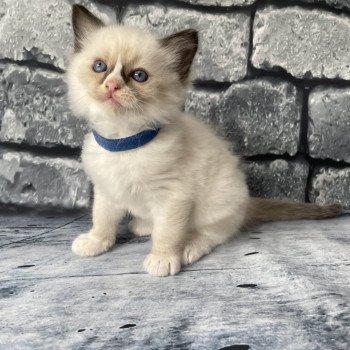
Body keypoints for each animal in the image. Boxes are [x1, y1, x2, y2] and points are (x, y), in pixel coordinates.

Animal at [66, 5, 342, 276]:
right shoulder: (106, 190)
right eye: (99, 67)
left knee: (214, 233)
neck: (123, 141)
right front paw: (95, 243)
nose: (112, 86)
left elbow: (167, 233)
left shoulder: (173, 196)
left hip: (219, 201)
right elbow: (102, 220)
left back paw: (189, 247)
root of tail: (247, 203)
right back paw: (143, 225)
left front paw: (163, 260)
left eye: (139, 76)